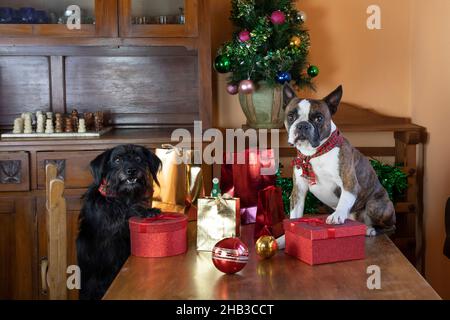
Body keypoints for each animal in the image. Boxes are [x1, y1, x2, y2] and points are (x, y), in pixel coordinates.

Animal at [77, 144, 162, 298]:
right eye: (117, 160)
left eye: (138, 158)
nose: (131, 171)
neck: (122, 197)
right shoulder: (110, 226)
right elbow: (127, 213)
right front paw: (146, 211)